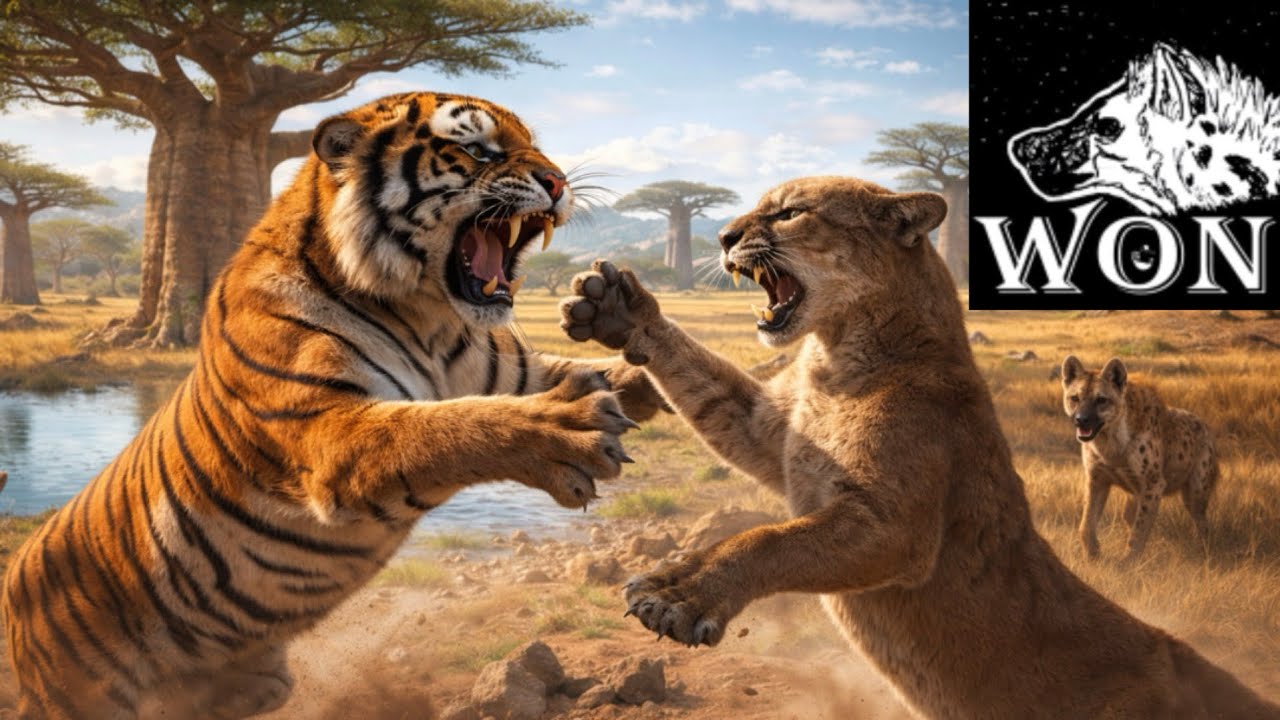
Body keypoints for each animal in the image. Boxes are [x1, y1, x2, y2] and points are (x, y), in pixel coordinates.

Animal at [0, 92, 665, 719]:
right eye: (478, 150)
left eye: (536, 146)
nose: (558, 183)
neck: (427, 312)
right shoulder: (333, 434)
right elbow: (450, 427)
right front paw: (570, 429)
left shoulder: (515, 371)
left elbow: (610, 375)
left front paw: (626, 326)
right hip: (80, 692)